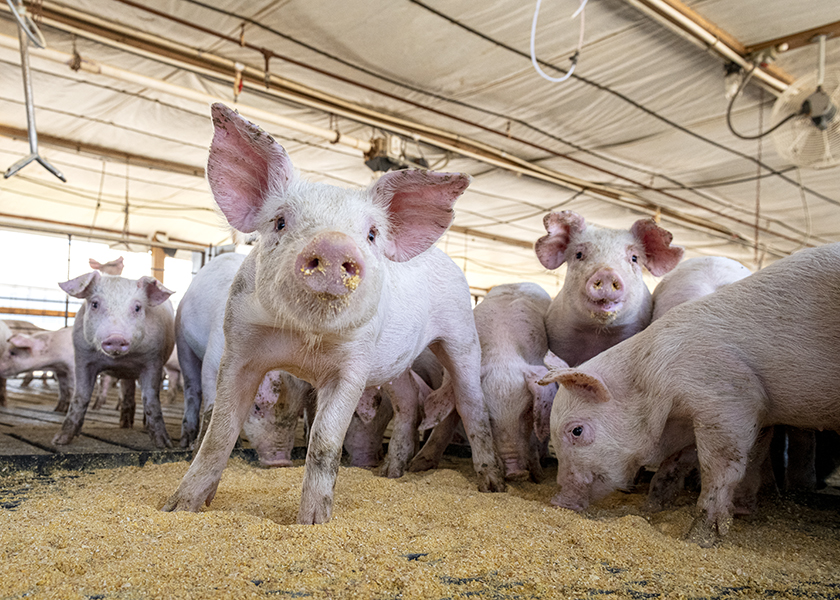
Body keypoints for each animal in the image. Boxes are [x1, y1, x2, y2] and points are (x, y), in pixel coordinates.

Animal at [53, 272, 175, 448]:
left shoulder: (153, 361)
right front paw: (59, 441)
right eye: (95, 304)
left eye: (137, 307)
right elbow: (80, 397)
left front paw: (165, 444)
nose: (116, 337)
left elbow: (151, 399)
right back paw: (124, 425)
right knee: (127, 390)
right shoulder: (83, 358)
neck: (120, 360)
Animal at [176, 251, 315, 467]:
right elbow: (213, 406)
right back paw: (186, 442)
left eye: (296, 411)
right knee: (192, 388)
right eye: (257, 407)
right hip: (181, 337)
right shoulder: (213, 358)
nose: (281, 461)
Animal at [539, 243, 840, 546]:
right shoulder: (750, 416)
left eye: (576, 431)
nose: (558, 501)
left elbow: (721, 467)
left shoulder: (729, 397)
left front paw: (699, 536)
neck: (654, 382)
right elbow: (692, 461)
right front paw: (652, 508)